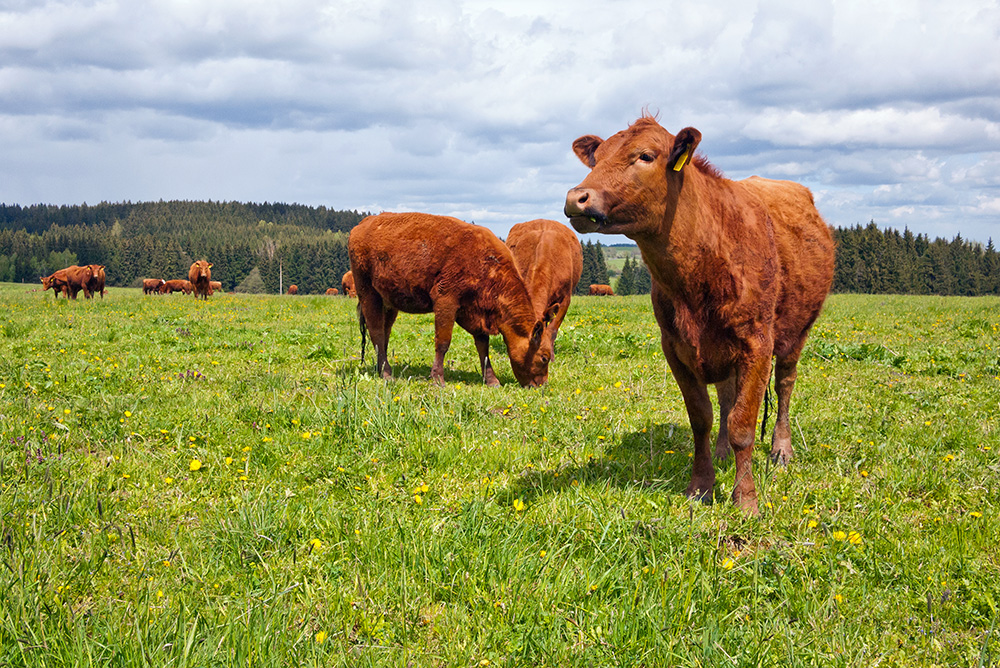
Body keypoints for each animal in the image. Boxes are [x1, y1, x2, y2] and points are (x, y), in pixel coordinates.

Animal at [348, 209, 560, 386]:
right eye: (544, 357)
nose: (542, 385)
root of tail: (363, 224)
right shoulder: (446, 300)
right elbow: (443, 342)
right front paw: (438, 379)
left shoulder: (475, 312)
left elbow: (483, 348)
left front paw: (491, 380)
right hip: (368, 293)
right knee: (376, 331)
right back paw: (386, 373)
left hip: (389, 302)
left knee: (385, 332)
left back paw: (381, 368)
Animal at [564, 115, 836, 516]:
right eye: (596, 158)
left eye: (646, 155)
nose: (576, 197)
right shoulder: (675, 347)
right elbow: (702, 418)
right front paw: (701, 486)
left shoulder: (757, 343)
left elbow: (743, 425)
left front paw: (745, 499)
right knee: (726, 396)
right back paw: (723, 452)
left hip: (796, 332)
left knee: (785, 384)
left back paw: (781, 450)